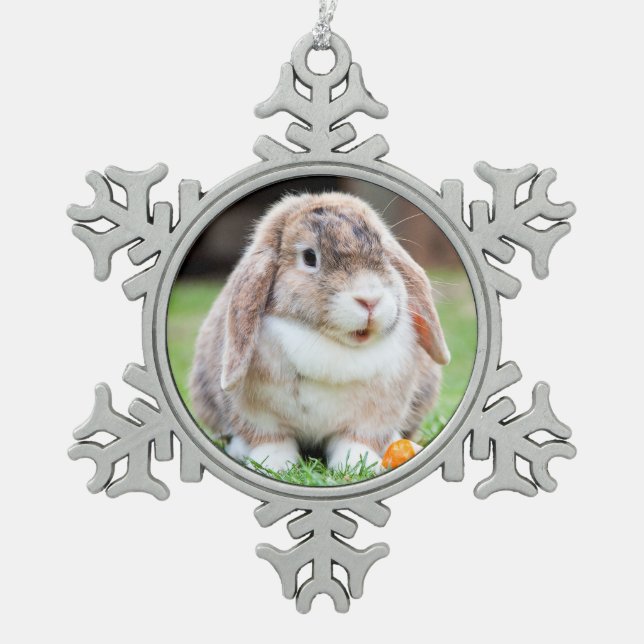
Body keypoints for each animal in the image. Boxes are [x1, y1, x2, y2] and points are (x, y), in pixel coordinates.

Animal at [189, 192, 451, 473]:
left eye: (382, 251)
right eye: (309, 257)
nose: (370, 300)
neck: (331, 344)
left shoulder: (372, 417)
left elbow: (356, 440)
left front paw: (359, 464)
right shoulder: (258, 416)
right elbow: (272, 440)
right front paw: (274, 465)